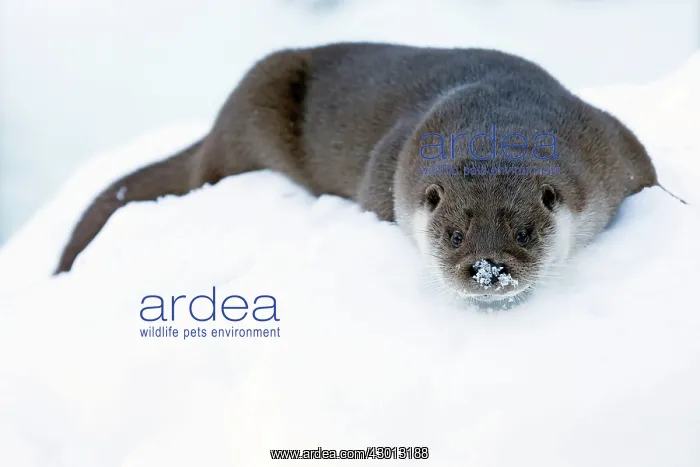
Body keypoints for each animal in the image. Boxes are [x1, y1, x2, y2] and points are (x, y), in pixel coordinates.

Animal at [54, 42, 660, 305]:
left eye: (525, 232)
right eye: (454, 234)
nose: (487, 270)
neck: (498, 112)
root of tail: (217, 127)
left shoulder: (614, 148)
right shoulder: (388, 174)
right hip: (251, 116)